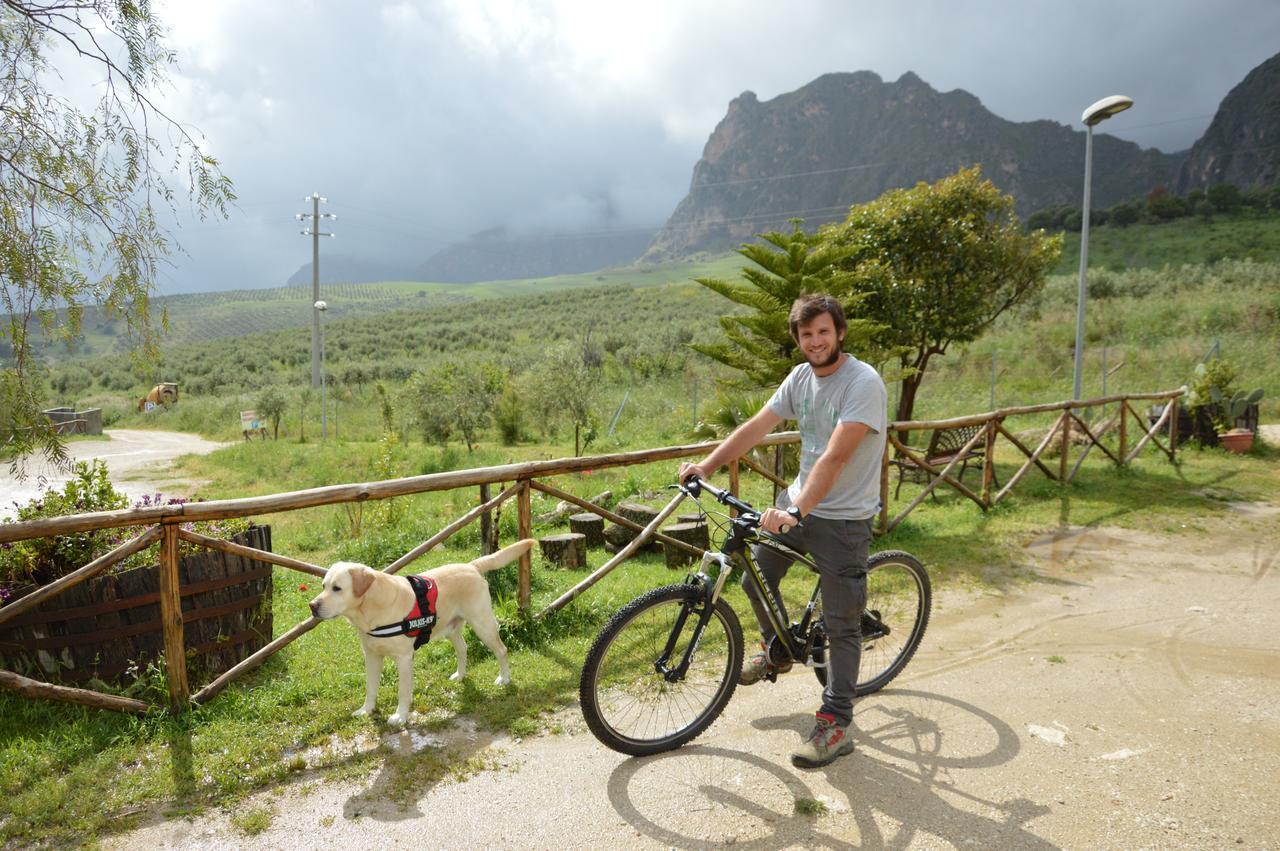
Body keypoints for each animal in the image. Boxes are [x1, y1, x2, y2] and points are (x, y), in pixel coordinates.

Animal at [307, 537, 532, 721]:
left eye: (337, 588)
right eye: (324, 586)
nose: (312, 606)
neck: (372, 608)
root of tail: (471, 566)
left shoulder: (404, 658)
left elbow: (403, 691)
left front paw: (400, 716)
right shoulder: (371, 656)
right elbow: (370, 687)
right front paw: (366, 710)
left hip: (482, 624)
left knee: (501, 650)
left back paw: (504, 678)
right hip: (452, 629)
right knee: (463, 648)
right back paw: (460, 675)